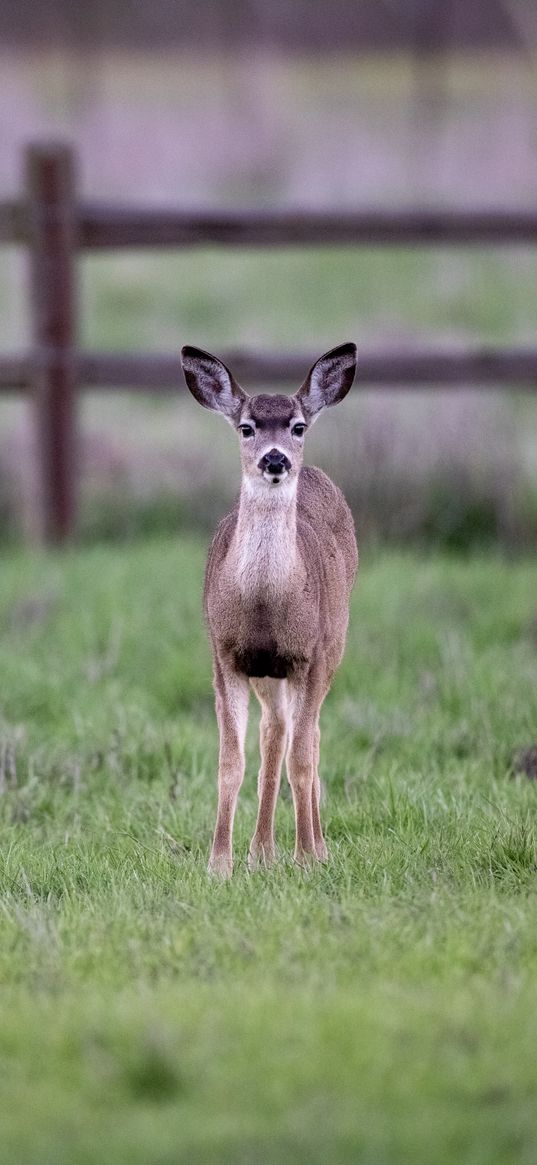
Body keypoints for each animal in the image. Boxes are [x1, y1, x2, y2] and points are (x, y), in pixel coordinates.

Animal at [181, 340, 358, 876]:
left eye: (298, 426)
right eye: (246, 427)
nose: (275, 458)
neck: (264, 605)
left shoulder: (310, 655)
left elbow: (303, 757)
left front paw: (306, 858)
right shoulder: (225, 657)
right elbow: (230, 763)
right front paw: (219, 864)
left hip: (334, 645)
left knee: (310, 737)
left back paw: (312, 846)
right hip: (267, 673)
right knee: (273, 732)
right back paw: (261, 851)